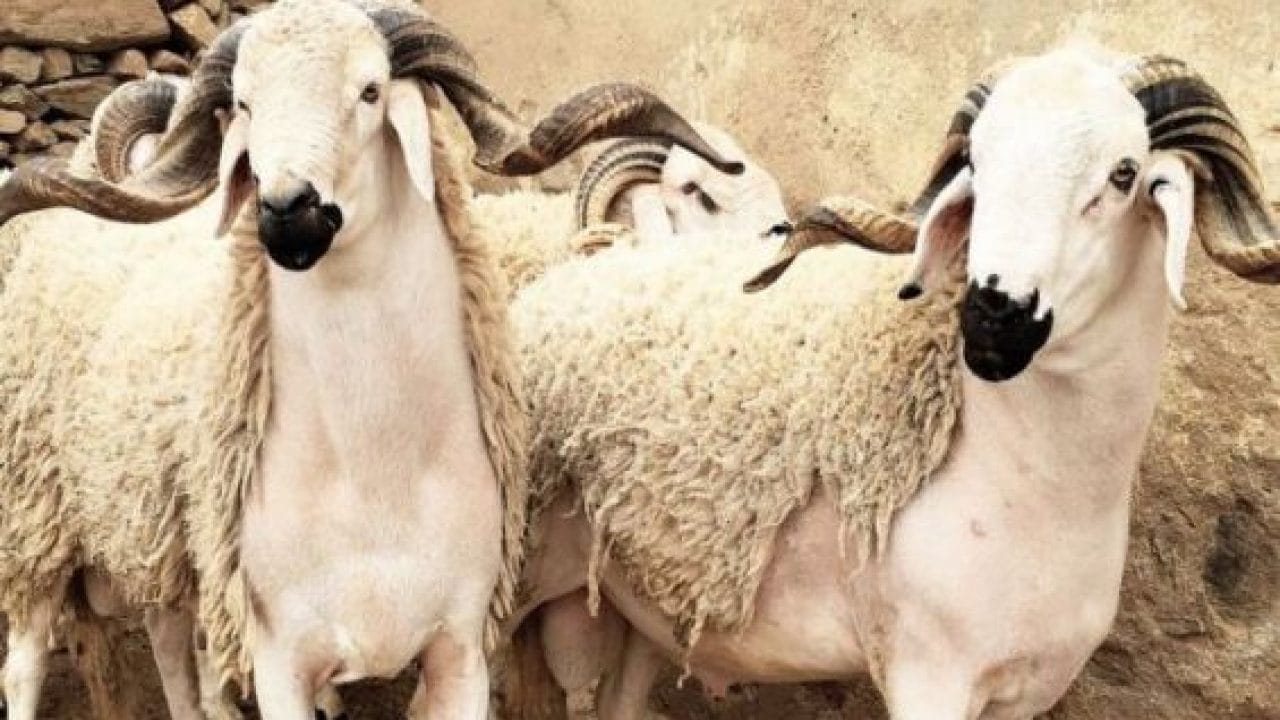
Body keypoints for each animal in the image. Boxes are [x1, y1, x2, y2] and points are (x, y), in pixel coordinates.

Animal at [0, 0, 742, 717]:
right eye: (244, 103)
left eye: (370, 90)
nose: (286, 212)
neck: (374, 474)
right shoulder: (282, 659)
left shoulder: (460, 652)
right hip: (38, 516)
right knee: (29, 662)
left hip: (150, 536)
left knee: (171, 647)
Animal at [501, 47, 1280, 720]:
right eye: (977, 164)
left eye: (1124, 173)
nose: (992, 313)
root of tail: (578, 267)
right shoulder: (929, 672)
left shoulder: (1024, 687)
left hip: (646, 602)